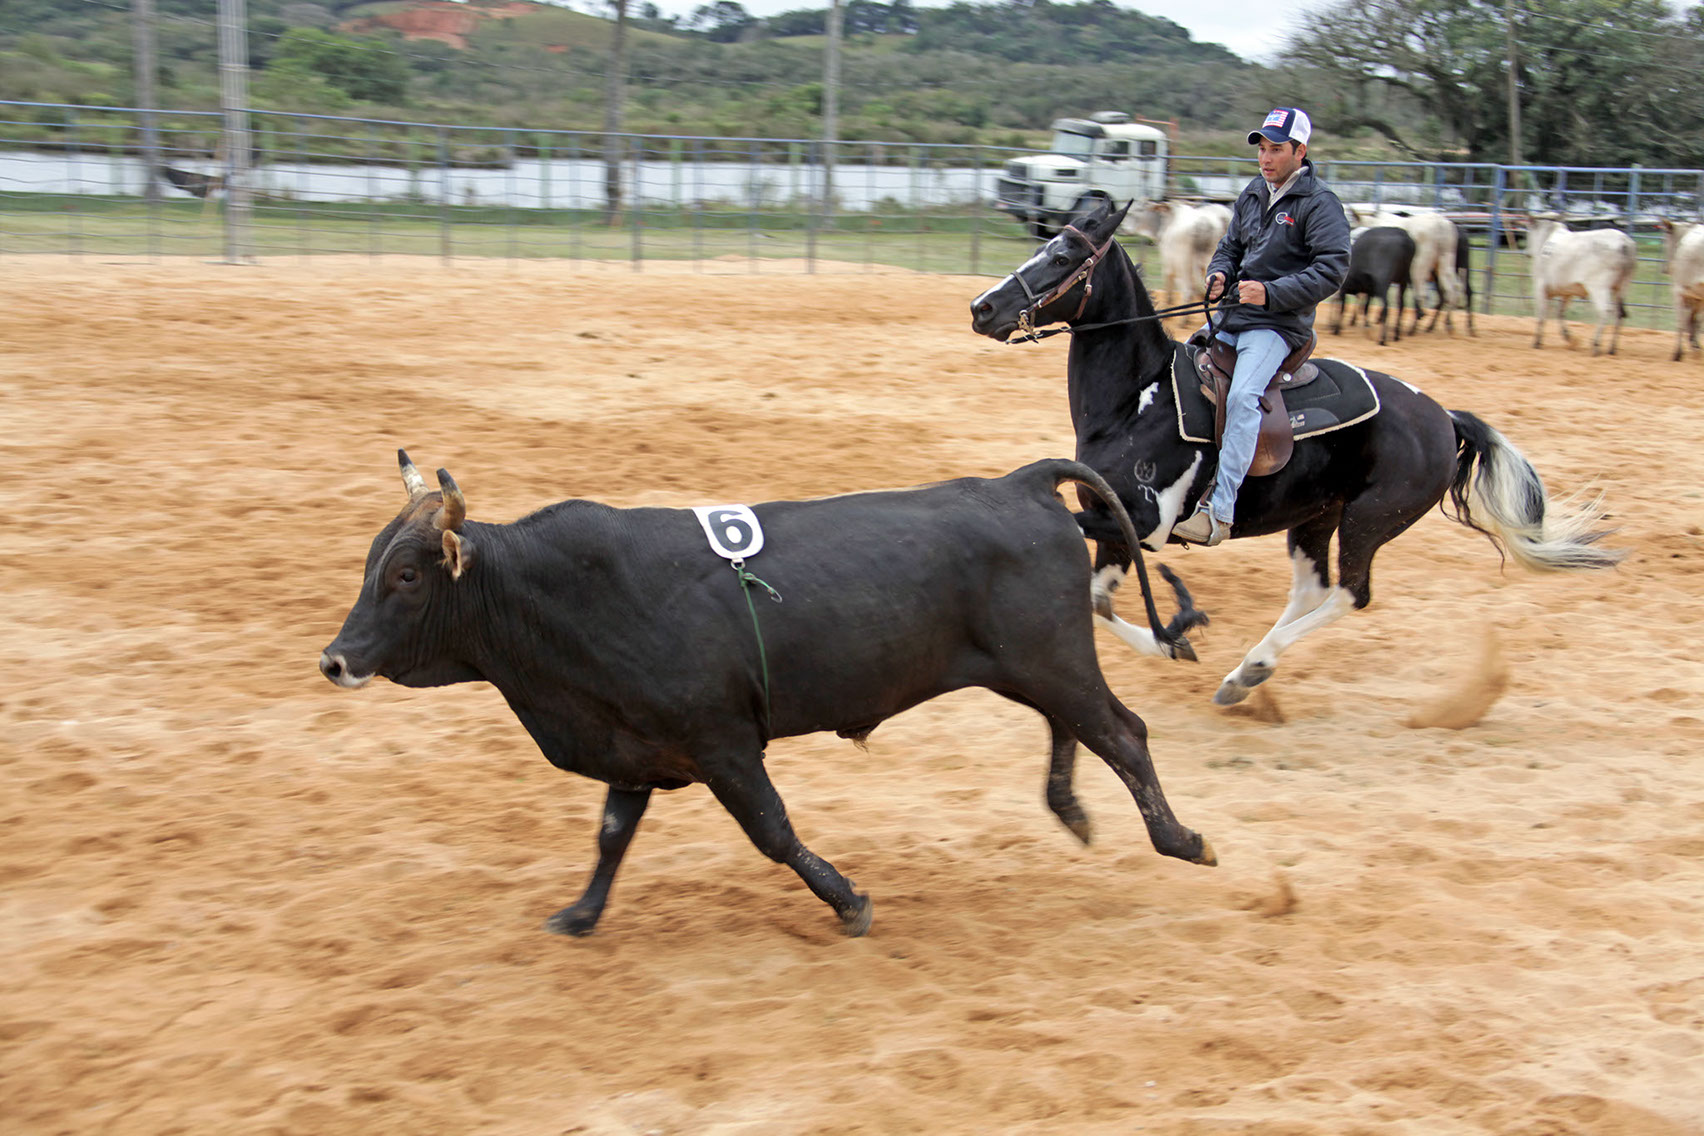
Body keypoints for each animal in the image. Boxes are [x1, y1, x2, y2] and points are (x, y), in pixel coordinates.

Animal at [319, 452, 1216, 938]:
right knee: (1075, 728)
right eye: (370, 565)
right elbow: (611, 838)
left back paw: (1181, 840)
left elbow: (773, 832)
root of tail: (1020, 482)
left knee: (1122, 733)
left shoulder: (721, 744)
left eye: (407, 576)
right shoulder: (634, 749)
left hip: (1052, 658)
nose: (334, 660)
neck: (556, 594)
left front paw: (849, 900)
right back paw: (1072, 811)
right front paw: (579, 915)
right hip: (1030, 664)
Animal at [970, 199, 1624, 707]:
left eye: (1062, 258)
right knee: (1313, 589)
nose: (983, 308)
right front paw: (1174, 639)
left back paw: (1255, 666)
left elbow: (1098, 588)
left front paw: (1175, 636)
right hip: (1317, 517)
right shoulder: (1113, 523)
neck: (1138, 399)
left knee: (1350, 594)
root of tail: (1444, 418)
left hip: (1369, 520)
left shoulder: (1144, 523)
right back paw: (1243, 674)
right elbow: (1098, 599)